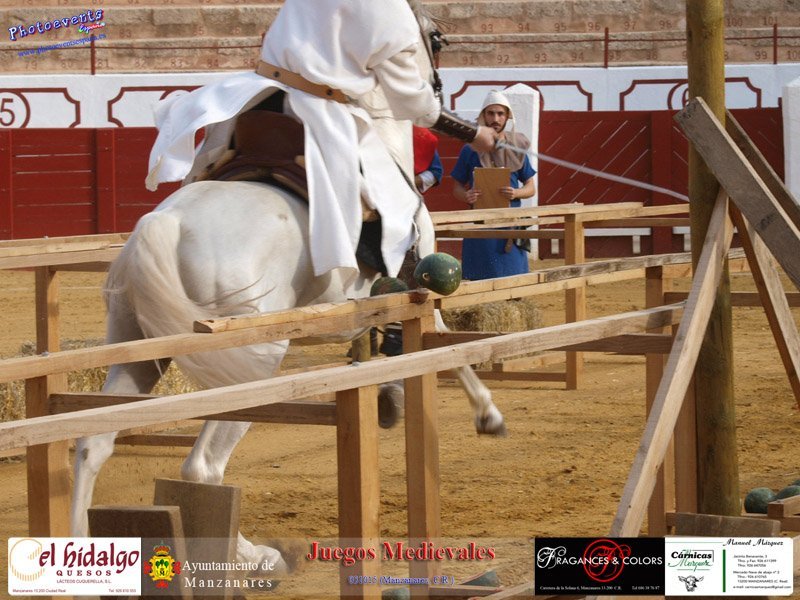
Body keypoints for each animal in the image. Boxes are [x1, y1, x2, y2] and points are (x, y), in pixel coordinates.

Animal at [71, 1, 506, 576]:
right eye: (434, 39)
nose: (449, 109)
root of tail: (163, 227)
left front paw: (390, 399)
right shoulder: (418, 283)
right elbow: (445, 348)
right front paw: (487, 414)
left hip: (135, 349)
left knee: (93, 443)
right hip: (253, 365)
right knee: (201, 466)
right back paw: (256, 558)